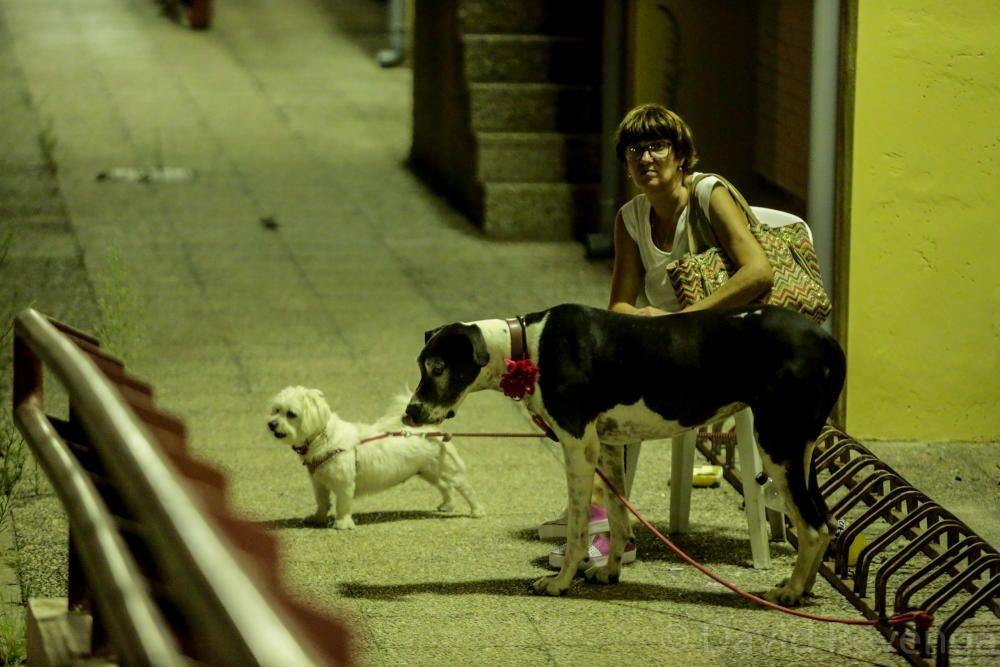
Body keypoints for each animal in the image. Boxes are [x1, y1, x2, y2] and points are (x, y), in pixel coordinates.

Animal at [266, 386, 484, 528]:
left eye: (291, 414)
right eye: (276, 410)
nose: (271, 424)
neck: (323, 437)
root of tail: (430, 429)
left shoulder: (344, 484)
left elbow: (342, 504)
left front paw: (342, 524)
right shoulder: (319, 482)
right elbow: (322, 502)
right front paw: (317, 518)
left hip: (448, 470)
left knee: (466, 488)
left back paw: (477, 511)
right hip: (428, 472)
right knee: (445, 487)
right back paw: (447, 505)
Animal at [404, 306, 844, 604]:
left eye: (438, 367)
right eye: (422, 365)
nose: (411, 413)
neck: (526, 346)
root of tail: (829, 342)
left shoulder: (578, 447)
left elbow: (579, 528)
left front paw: (561, 582)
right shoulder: (611, 449)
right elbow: (617, 518)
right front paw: (610, 570)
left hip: (778, 445)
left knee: (811, 526)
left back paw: (789, 592)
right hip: (800, 450)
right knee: (825, 521)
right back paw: (802, 588)